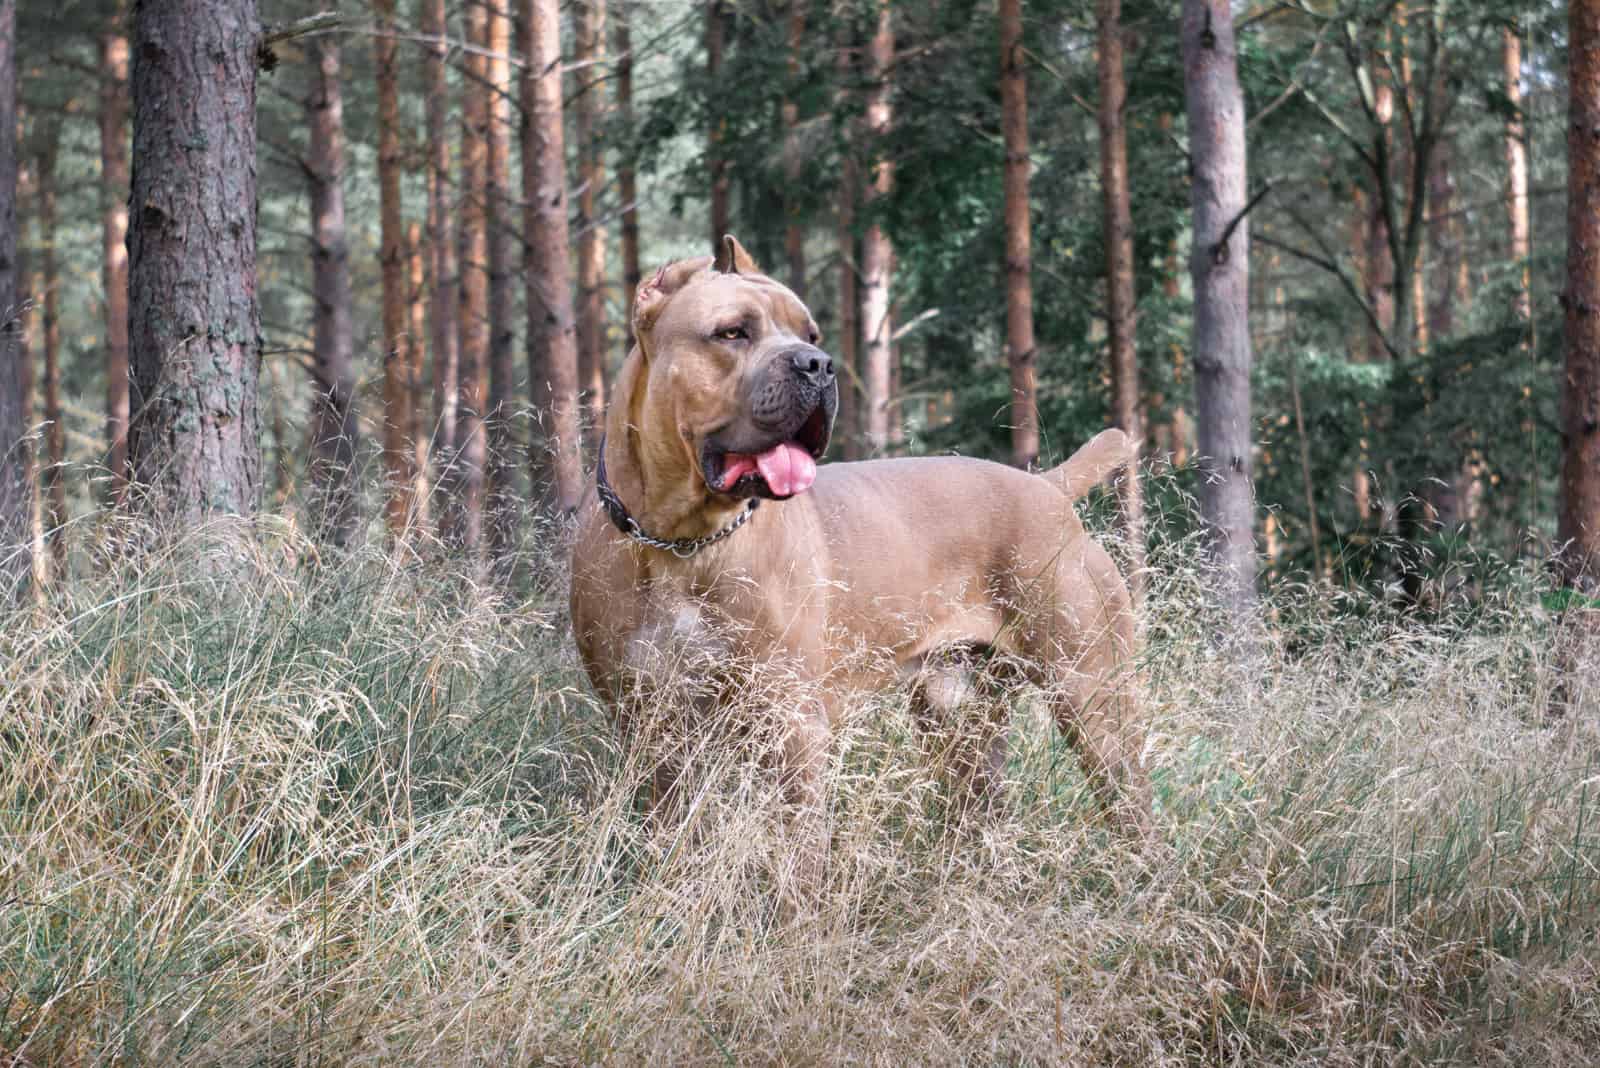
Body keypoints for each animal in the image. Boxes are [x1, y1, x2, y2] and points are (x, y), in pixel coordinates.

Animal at [576, 235, 1152, 876]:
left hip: (1092, 695)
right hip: (958, 714)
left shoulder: (792, 724)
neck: (679, 540)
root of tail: (1049, 488)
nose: (818, 364)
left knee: (1132, 806)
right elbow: (671, 838)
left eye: (812, 333)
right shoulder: (650, 728)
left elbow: (799, 859)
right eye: (731, 333)